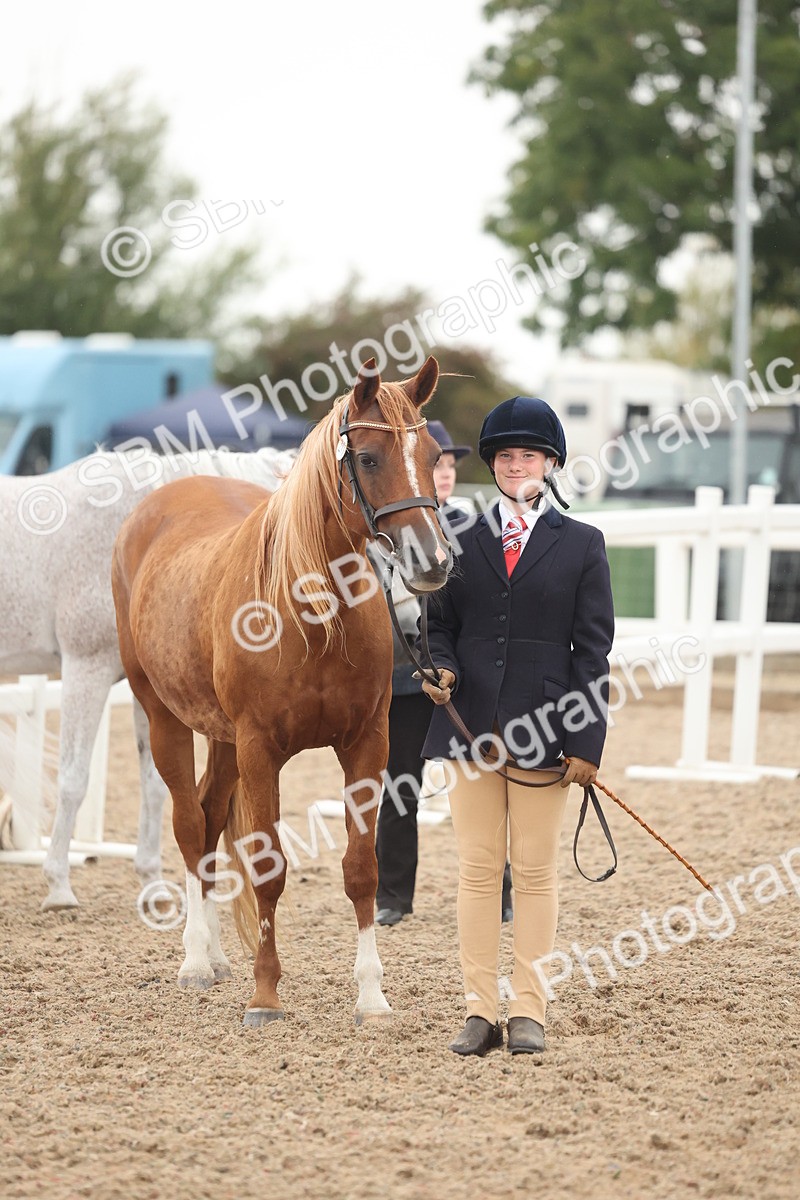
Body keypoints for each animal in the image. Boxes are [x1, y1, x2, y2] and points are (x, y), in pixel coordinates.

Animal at [0, 443, 296, 910]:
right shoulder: (85, 668)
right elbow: (73, 780)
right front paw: (59, 885)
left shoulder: (152, 693)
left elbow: (155, 786)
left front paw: (153, 882)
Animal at [112, 356, 451, 1025]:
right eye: (368, 457)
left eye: (429, 454)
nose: (432, 561)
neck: (311, 611)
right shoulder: (261, 751)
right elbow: (268, 869)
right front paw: (265, 995)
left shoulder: (367, 745)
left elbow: (361, 869)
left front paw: (371, 995)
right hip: (165, 717)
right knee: (188, 826)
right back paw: (196, 961)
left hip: (220, 738)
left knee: (210, 819)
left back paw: (218, 956)